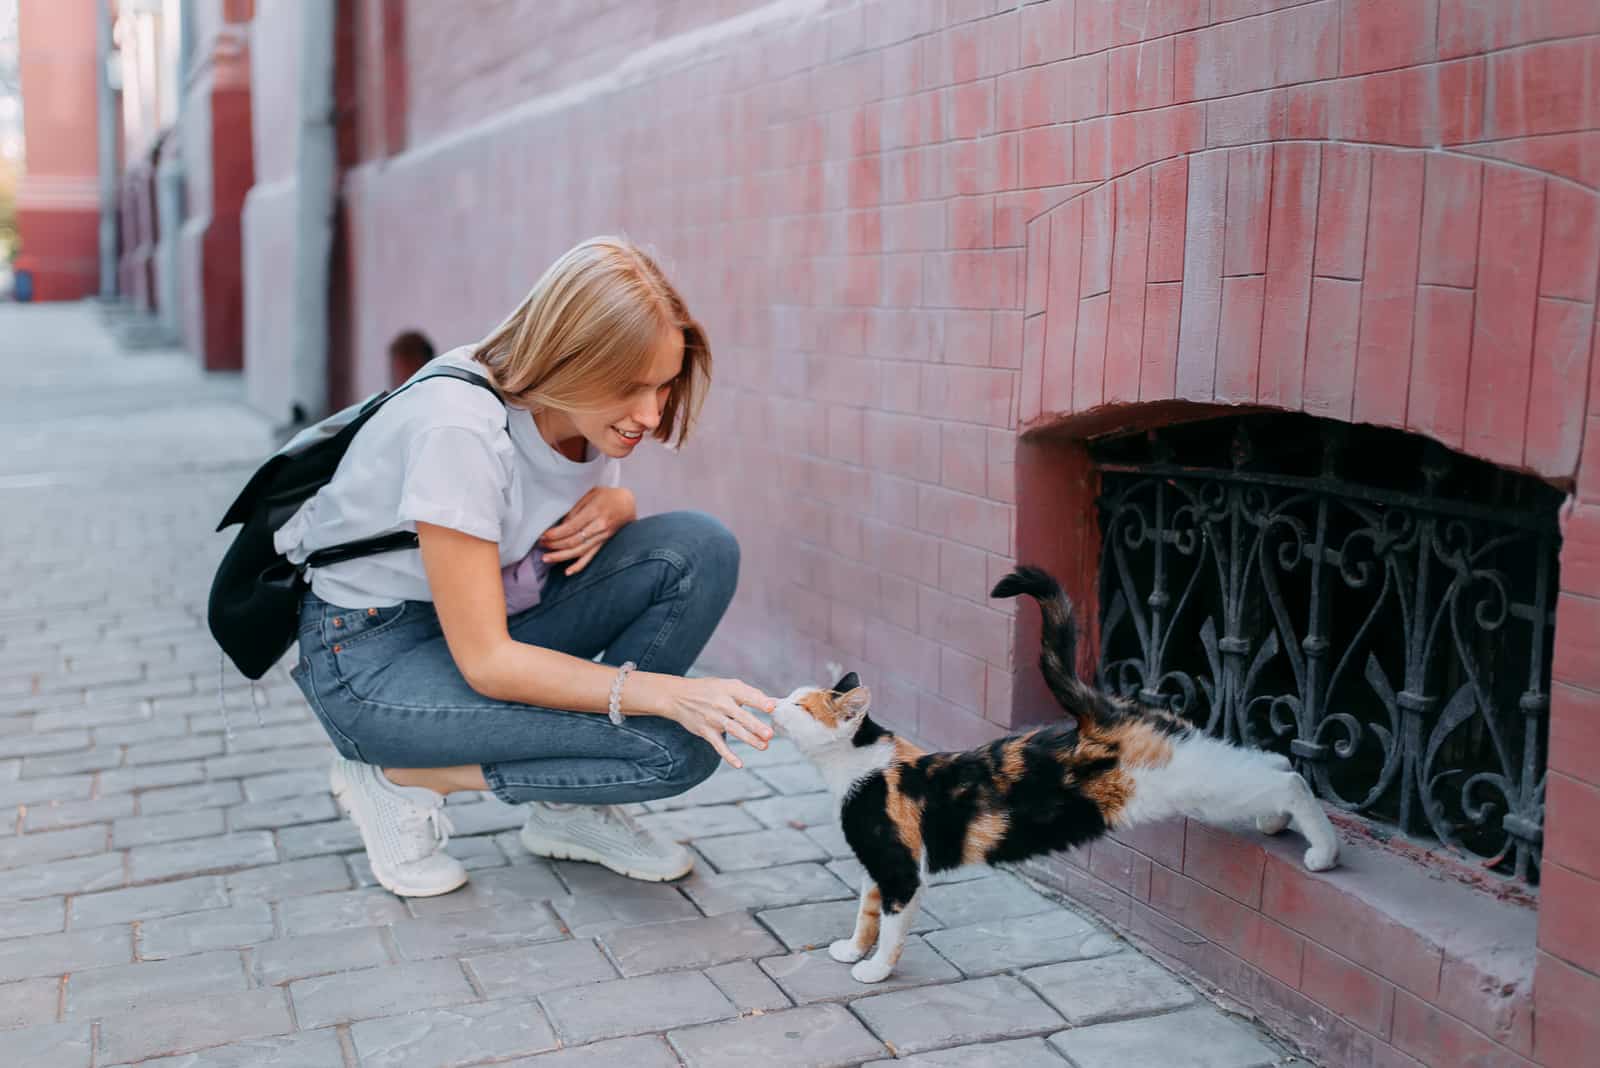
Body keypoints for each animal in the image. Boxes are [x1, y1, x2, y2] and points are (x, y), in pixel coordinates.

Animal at [771, 565, 1337, 984]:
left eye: (799, 705)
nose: (775, 701)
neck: (857, 766)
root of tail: (1105, 711)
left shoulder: (900, 869)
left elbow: (891, 929)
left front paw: (874, 971)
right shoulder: (877, 866)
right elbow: (865, 913)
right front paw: (851, 950)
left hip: (1194, 783)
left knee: (1286, 777)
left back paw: (1324, 851)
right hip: (1197, 765)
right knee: (1270, 761)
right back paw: (1273, 823)